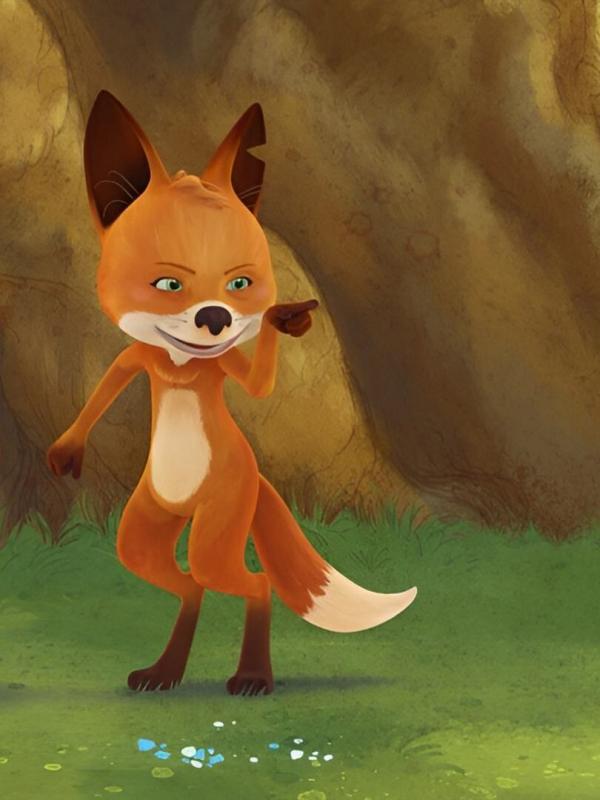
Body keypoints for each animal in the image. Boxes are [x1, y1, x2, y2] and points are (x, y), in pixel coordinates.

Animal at [46, 91, 417, 695]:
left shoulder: (221, 367)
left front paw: (283, 321)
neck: (179, 367)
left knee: (249, 580)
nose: (216, 317)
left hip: (218, 522)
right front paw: (66, 449)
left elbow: (259, 386)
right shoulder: (137, 358)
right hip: (145, 529)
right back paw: (165, 672)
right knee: (187, 581)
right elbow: (107, 386)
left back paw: (252, 677)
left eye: (240, 283)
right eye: (168, 284)